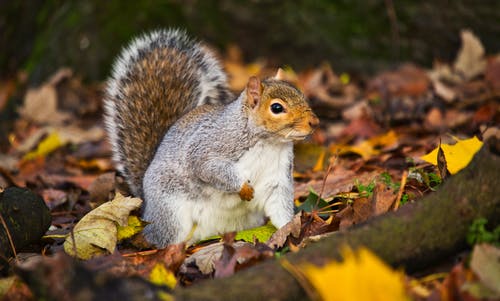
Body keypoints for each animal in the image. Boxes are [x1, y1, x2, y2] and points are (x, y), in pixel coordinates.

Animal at [103, 29, 318, 247]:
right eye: (276, 108)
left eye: (300, 93)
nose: (314, 122)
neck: (269, 143)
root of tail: (146, 207)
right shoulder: (210, 146)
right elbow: (207, 168)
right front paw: (243, 188)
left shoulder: (277, 177)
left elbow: (280, 207)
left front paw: (289, 230)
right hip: (171, 214)